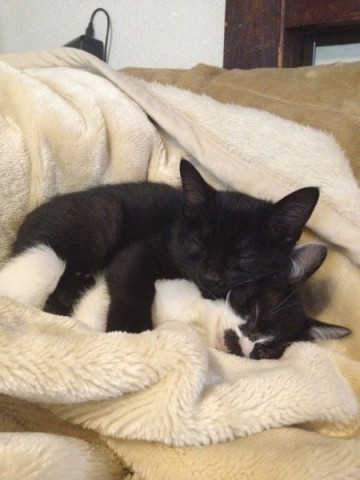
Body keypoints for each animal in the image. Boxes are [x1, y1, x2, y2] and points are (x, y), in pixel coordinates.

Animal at [0, 159, 320, 332]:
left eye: (244, 257)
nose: (211, 277)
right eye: (198, 243)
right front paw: (130, 332)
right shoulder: (141, 250)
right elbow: (133, 285)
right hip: (105, 218)